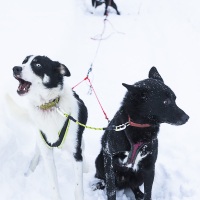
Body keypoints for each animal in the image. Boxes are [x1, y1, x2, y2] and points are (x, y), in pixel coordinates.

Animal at [12, 55, 87, 200]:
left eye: (38, 65)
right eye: (24, 62)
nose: (15, 68)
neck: (49, 106)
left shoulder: (75, 152)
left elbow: (78, 189)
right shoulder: (47, 153)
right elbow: (54, 185)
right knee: (36, 153)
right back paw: (30, 171)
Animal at [94, 67, 189, 200]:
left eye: (175, 99)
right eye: (165, 101)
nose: (187, 117)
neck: (139, 128)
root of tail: (123, 182)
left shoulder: (149, 167)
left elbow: (148, 192)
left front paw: (144, 195)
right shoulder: (110, 159)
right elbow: (111, 190)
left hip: (139, 176)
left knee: (133, 185)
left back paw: (139, 194)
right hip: (99, 161)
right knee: (105, 181)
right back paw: (99, 185)